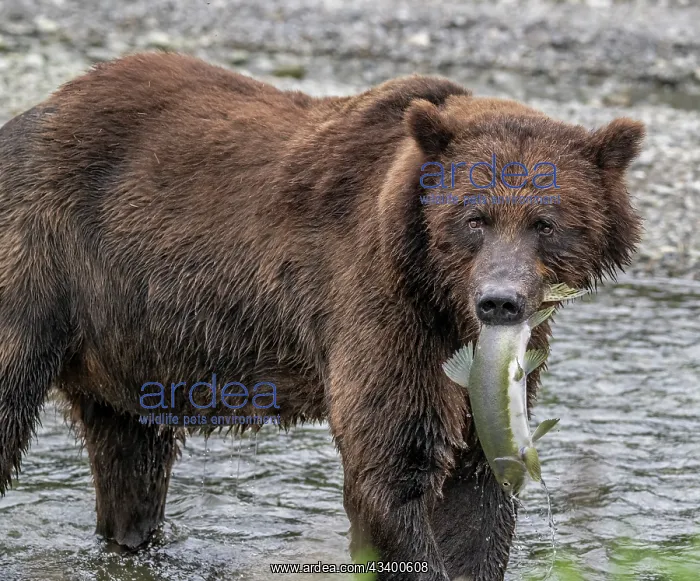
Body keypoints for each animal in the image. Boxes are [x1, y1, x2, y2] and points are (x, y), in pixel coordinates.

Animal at [0, 52, 643, 580]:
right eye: (474, 218)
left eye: (546, 223)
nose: (499, 300)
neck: (441, 299)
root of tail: (33, 114)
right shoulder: (379, 305)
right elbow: (393, 470)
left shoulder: (495, 368)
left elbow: (475, 487)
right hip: (42, 254)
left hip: (126, 338)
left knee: (132, 451)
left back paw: (128, 538)